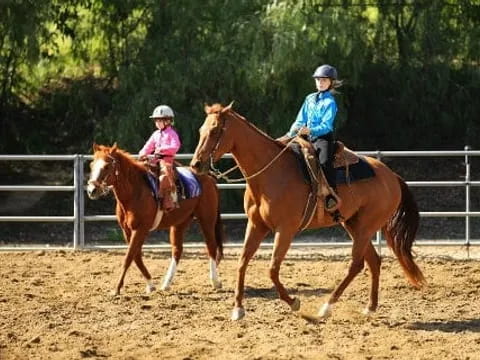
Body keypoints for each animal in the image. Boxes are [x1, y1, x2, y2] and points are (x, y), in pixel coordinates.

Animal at [86, 143, 225, 296]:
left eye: (106, 166)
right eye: (92, 165)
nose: (92, 190)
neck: (135, 192)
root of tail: (210, 179)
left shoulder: (141, 229)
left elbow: (129, 257)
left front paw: (116, 289)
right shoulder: (127, 230)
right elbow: (136, 257)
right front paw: (150, 284)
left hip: (207, 219)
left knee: (211, 246)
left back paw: (215, 281)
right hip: (180, 223)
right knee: (177, 250)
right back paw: (166, 284)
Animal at [189, 103, 426, 320]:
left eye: (215, 131)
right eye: (201, 130)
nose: (196, 164)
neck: (271, 174)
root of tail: (392, 177)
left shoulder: (285, 229)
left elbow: (272, 269)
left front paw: (294, 302)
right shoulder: (256, 225)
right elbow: (242, 262)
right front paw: (238, 308)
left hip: (366, 227)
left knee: (356, 264)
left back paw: (326, 307)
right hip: (354, 225)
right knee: (373, 261)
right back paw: (370, 307)